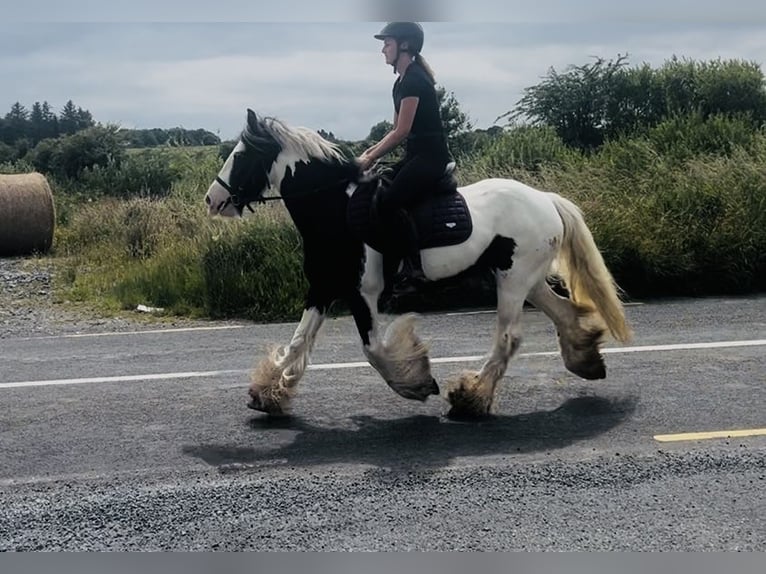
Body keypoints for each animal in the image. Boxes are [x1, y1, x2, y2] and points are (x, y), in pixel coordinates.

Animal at [204, 109, 632, 418]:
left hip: (513, 281)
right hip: (527, 279)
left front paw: (416, 382)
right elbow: (298, 342)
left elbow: (374, 350)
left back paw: (471, 400)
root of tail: (545, 198)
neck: (335, 211)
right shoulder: (324, 287)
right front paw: (269, 393)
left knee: (508, 337)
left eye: (240, 156)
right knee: (563, 312)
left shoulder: (362, 294)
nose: (212, 199)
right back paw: (585, 359)